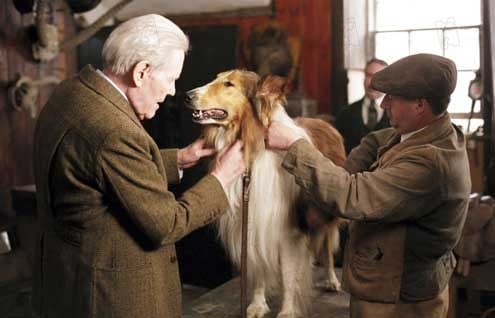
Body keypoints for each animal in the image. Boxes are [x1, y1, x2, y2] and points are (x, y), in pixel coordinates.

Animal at [186, 71, 344, 316]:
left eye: (229, 84)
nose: (187, 95)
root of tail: (323, 122)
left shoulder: (290, 232)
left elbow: (289, 277)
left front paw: (287, 312)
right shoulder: (253, 222)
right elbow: (258, 269)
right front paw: (257, 305)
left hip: (327, 212)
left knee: (327, 249)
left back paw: (331, 280)